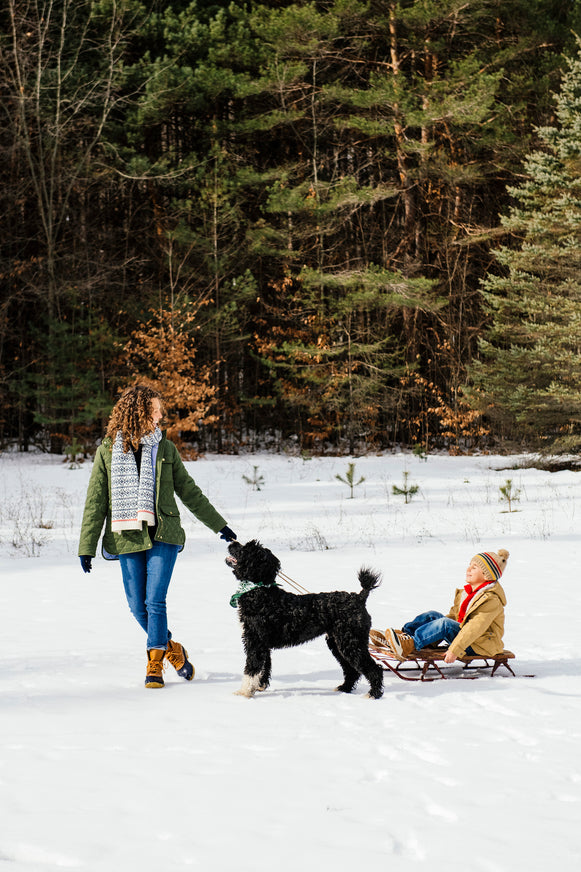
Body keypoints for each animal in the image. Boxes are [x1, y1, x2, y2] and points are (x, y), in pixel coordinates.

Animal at [224, 540, 382, 700]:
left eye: (246, 548)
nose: (232, 542)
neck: (260, 592)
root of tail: (359, 598)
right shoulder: (262, 643)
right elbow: (264, 667)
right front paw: (259, 687)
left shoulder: (255, 641)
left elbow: (251, 669)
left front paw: (244, 693)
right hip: (338, 643)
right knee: (352, 670)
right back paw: (344, 688)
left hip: (352, 642)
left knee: (375, 668)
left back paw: (373, 694)